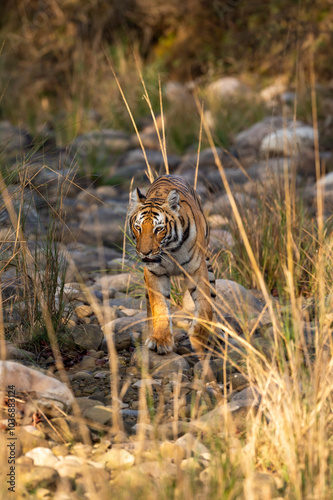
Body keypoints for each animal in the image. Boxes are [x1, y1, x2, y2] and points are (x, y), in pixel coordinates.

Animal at [127, 176, 215, 356]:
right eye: (138, 227)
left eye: (159, 229)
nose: (145, 253)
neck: (171, 249)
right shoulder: (155, 273)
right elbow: (160, 306)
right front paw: (160, 339)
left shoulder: (197, 269)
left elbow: (205, 306)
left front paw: (198, 339)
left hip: (209, 266)